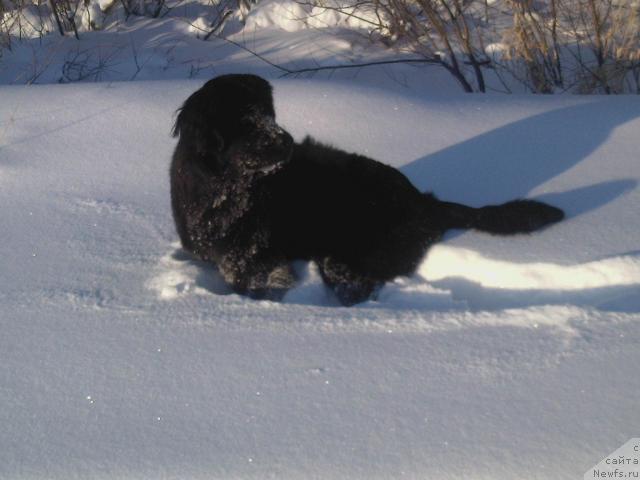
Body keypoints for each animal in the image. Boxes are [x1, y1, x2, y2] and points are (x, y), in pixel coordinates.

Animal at [171, 73, 564, 306]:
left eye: (269, 113)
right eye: (245, 120)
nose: (287, 142)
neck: (226, 188)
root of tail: (424, 201)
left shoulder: (254, 257)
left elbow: (250, 280)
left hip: (349, 252)